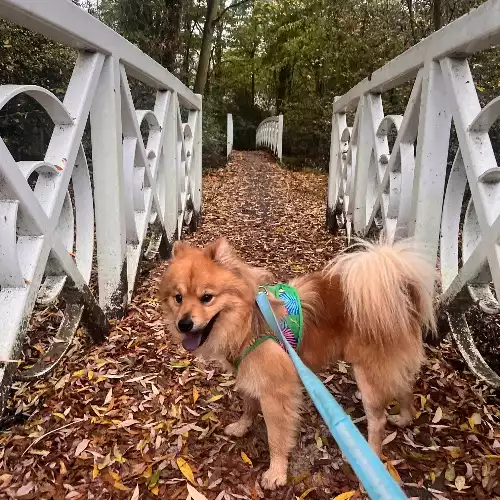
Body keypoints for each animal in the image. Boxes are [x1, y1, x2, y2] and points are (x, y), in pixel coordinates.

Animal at [158, 237, 436, 488]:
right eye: (178, 298)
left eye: (207, 297)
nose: (184, 324)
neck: (248, 322)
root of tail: (402, 293)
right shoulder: (250, 374)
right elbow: (248, 405)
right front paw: (242, 426)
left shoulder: (276, 392)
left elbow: (276, 437)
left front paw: (276, 473)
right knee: (405, 388)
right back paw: (404, 418)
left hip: (368, 376)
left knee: (378, 421)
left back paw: (370, 458)